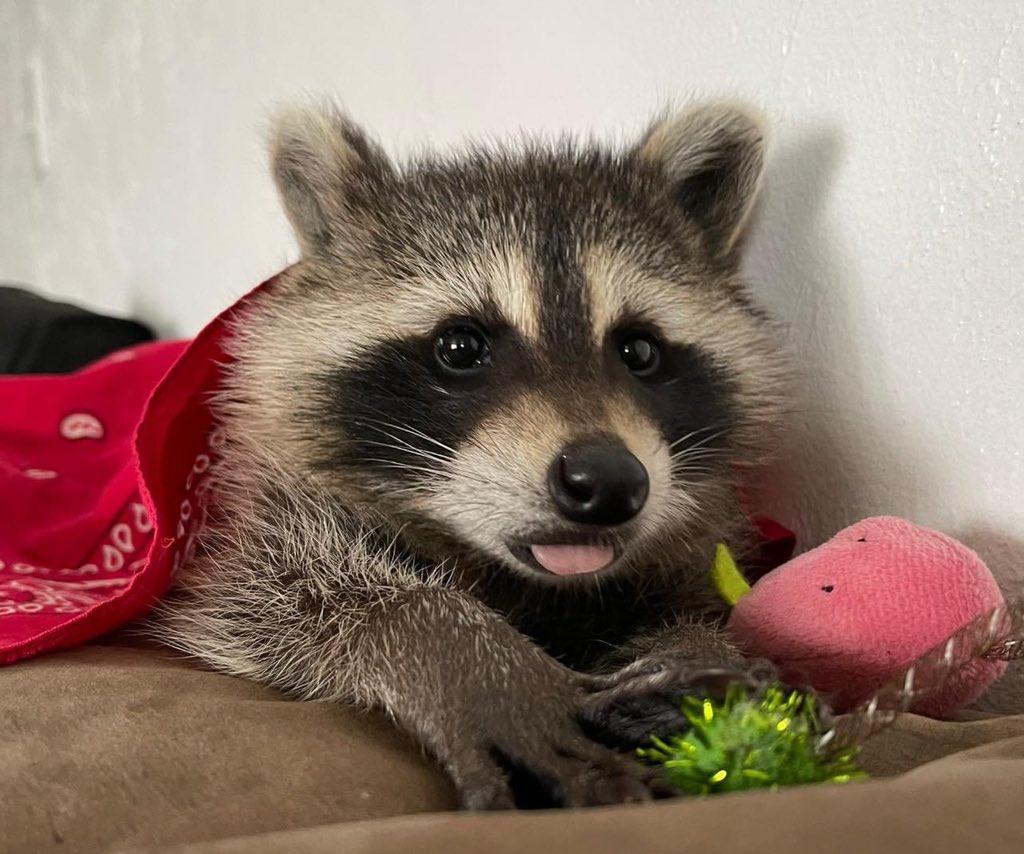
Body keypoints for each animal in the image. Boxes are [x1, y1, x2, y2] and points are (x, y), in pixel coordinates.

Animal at [155, 99, 790, 809]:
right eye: (460, 347)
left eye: (640, 350)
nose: (607, 480)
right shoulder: (256, 521)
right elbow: (285, 596)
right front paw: (455, 652)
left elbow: (688, 606)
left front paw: (694, 653)